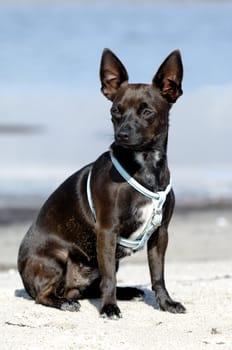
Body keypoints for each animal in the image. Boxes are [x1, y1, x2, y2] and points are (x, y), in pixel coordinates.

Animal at [17, 49, 185, 320]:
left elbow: (158, 274)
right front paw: (109, 307)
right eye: (116, 110)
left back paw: (127, 292)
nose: (122, 134)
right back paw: (65, 302)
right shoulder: (107, 232)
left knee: (91, 287)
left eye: (147, 112)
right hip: (57, 258)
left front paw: (166, 303)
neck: (144, 164)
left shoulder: (160, 234)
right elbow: (108, 279)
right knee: (46, 295)